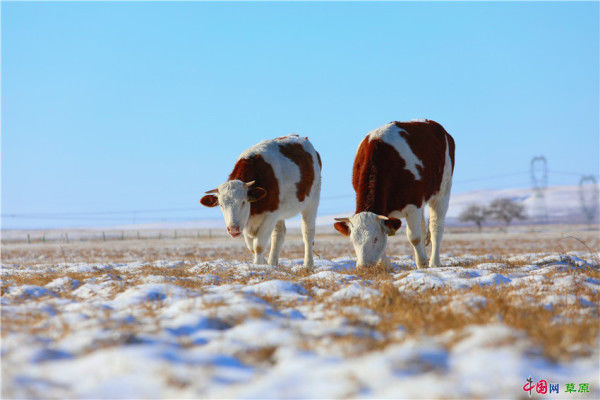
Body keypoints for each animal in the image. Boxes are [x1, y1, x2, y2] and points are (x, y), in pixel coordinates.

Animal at [200, 134, 324, 268]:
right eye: (221, 205)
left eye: (243, 202)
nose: (233, 229)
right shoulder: (246, 221)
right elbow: (251, 247)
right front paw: (264, 263)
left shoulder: (271, 215)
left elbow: (258, 246)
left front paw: (258, 265)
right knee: (279, 234)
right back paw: (272, 263)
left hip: (312, 201)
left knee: (308, 233)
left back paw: (308, 264)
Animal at [332, 119, 454, 268]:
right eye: (353, 240)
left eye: (375, 239)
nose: (363, 266)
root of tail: (434, 124)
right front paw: (383, 265)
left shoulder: (413, 204)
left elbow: (414, 237)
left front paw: (422, 264)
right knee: (422, 226)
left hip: (443, 191)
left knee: (436, 227)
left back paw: (434, 262)